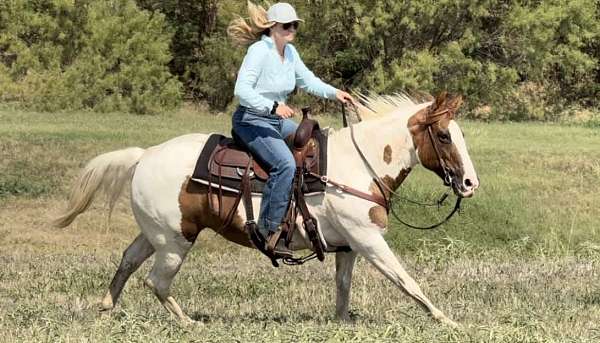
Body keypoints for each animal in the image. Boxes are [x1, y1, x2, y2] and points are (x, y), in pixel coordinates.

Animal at [54, 91, 480, 328]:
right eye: (444, 135)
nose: (469, 184)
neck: (359, 164)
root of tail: (145, 155)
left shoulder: (348, 245)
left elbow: (343, 287)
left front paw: (343, 322)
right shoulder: (368, 240)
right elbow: (407, 281)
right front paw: (447, 321)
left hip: (157, 233)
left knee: (129, 260)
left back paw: (106, 307)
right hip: (176, 241)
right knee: (156, 281)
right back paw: (191, 323)